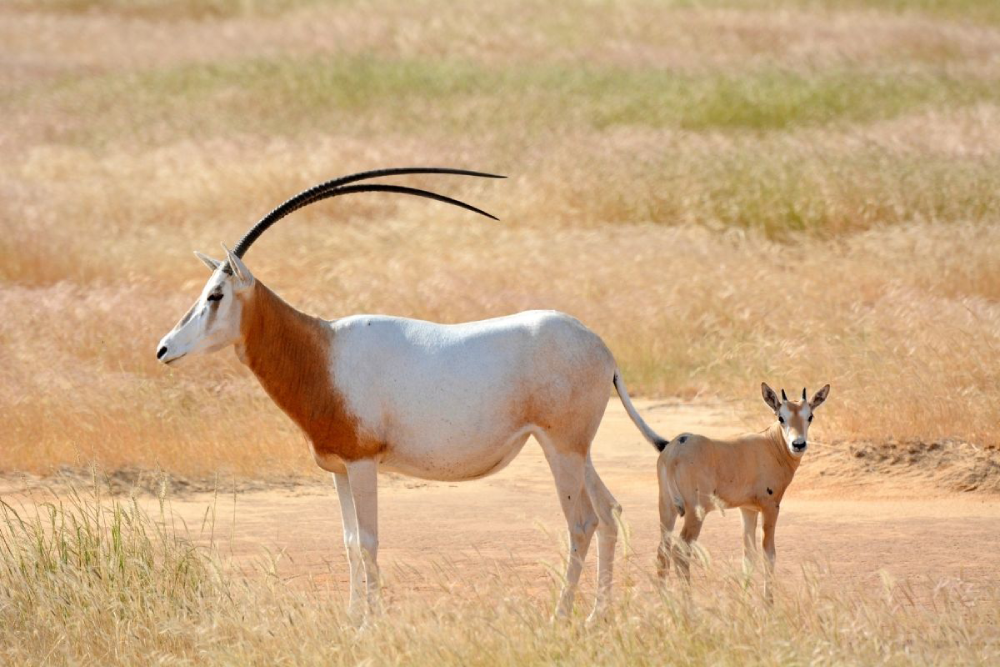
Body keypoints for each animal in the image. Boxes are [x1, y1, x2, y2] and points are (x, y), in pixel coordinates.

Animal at [620, 380, 832, 600]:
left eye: (810, 416)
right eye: (781, 417)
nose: (798, 444)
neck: (771, 444)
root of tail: (674, 448)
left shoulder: (748, 509)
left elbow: (748, 556)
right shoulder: (770, 507)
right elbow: (769, 554)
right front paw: (768, 602)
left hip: (667, 508)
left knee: (663, 551)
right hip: (695, 513)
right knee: (680, 551)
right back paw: (688, 604)